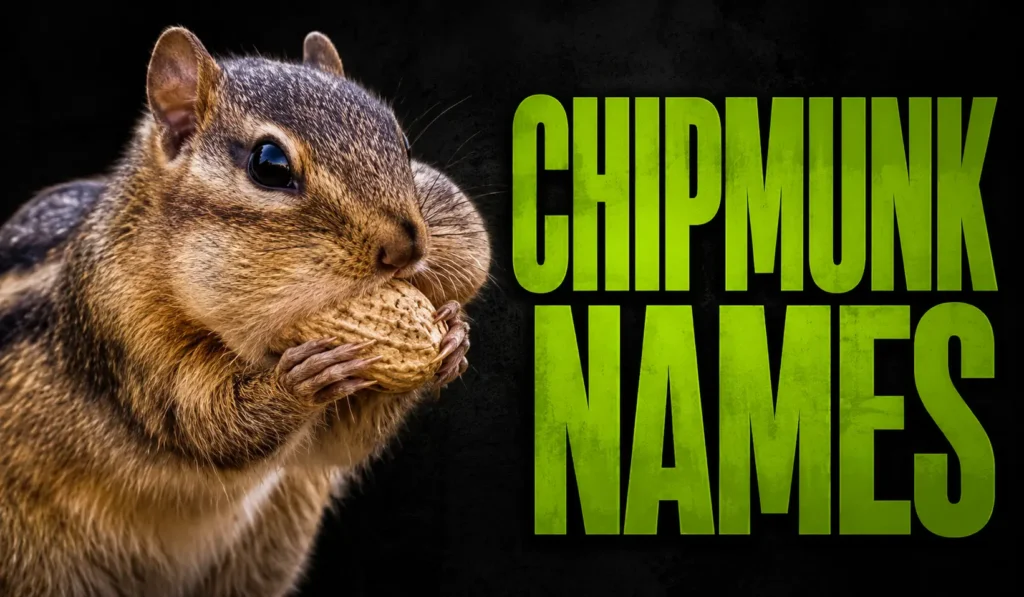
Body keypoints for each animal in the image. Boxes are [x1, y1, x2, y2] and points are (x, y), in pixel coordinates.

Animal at [0, 27, 490, 597]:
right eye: (269, 165)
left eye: (403, 145)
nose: (409, 248)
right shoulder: (121, 333)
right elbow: (202, 422)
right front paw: (299, 383)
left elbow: (338, 445)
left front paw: (453, 335)